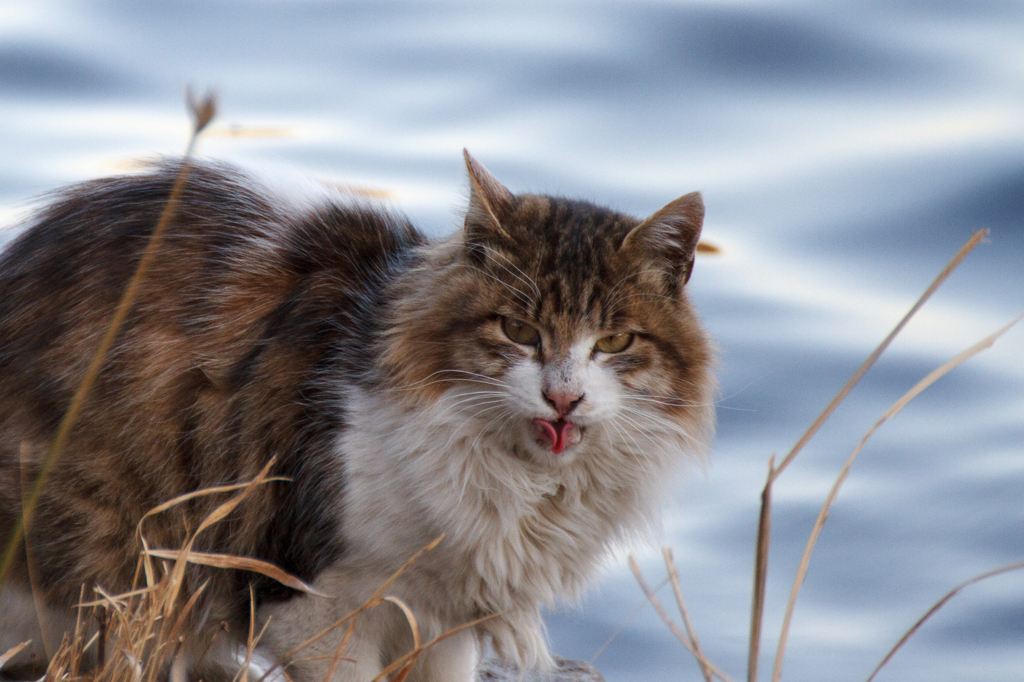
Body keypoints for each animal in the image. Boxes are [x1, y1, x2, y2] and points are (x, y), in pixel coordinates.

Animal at [0, 150, 712, 679]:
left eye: (614, 342)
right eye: (518, 331)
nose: (564, 397)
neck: (523, 483)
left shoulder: (443, 619)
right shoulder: (311, 603)